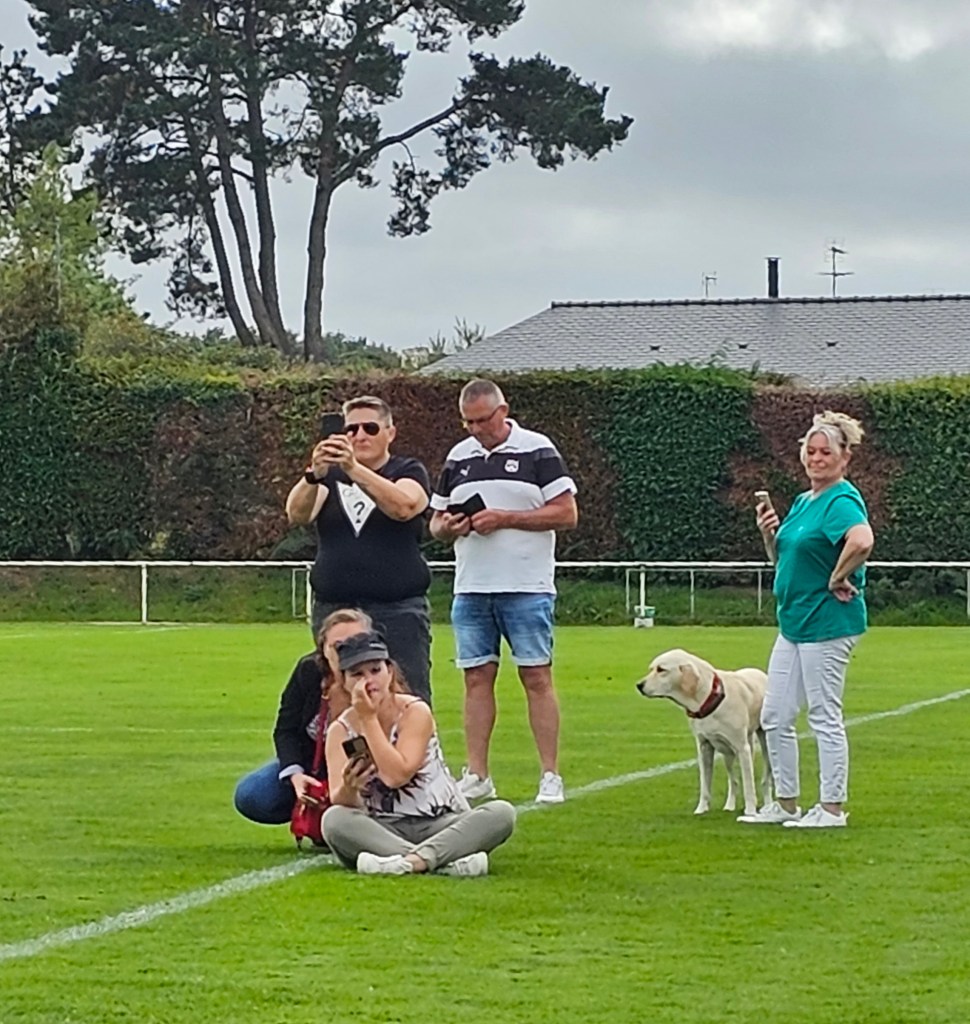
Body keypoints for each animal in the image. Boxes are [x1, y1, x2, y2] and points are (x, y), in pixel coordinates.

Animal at [635, 648, 772, 816]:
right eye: (651, 669)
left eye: (661, 670)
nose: (639, 685)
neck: (707, 697)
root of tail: (761, 673)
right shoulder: (705, 747)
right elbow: (705, 784)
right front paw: (701, 809)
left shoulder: (742, 749)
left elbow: (749, 786)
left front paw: (751, 811)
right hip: (728, 753)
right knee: (734, 781)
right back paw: (730, 805)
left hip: (765, 746)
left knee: (766, 780)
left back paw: (768, 806)